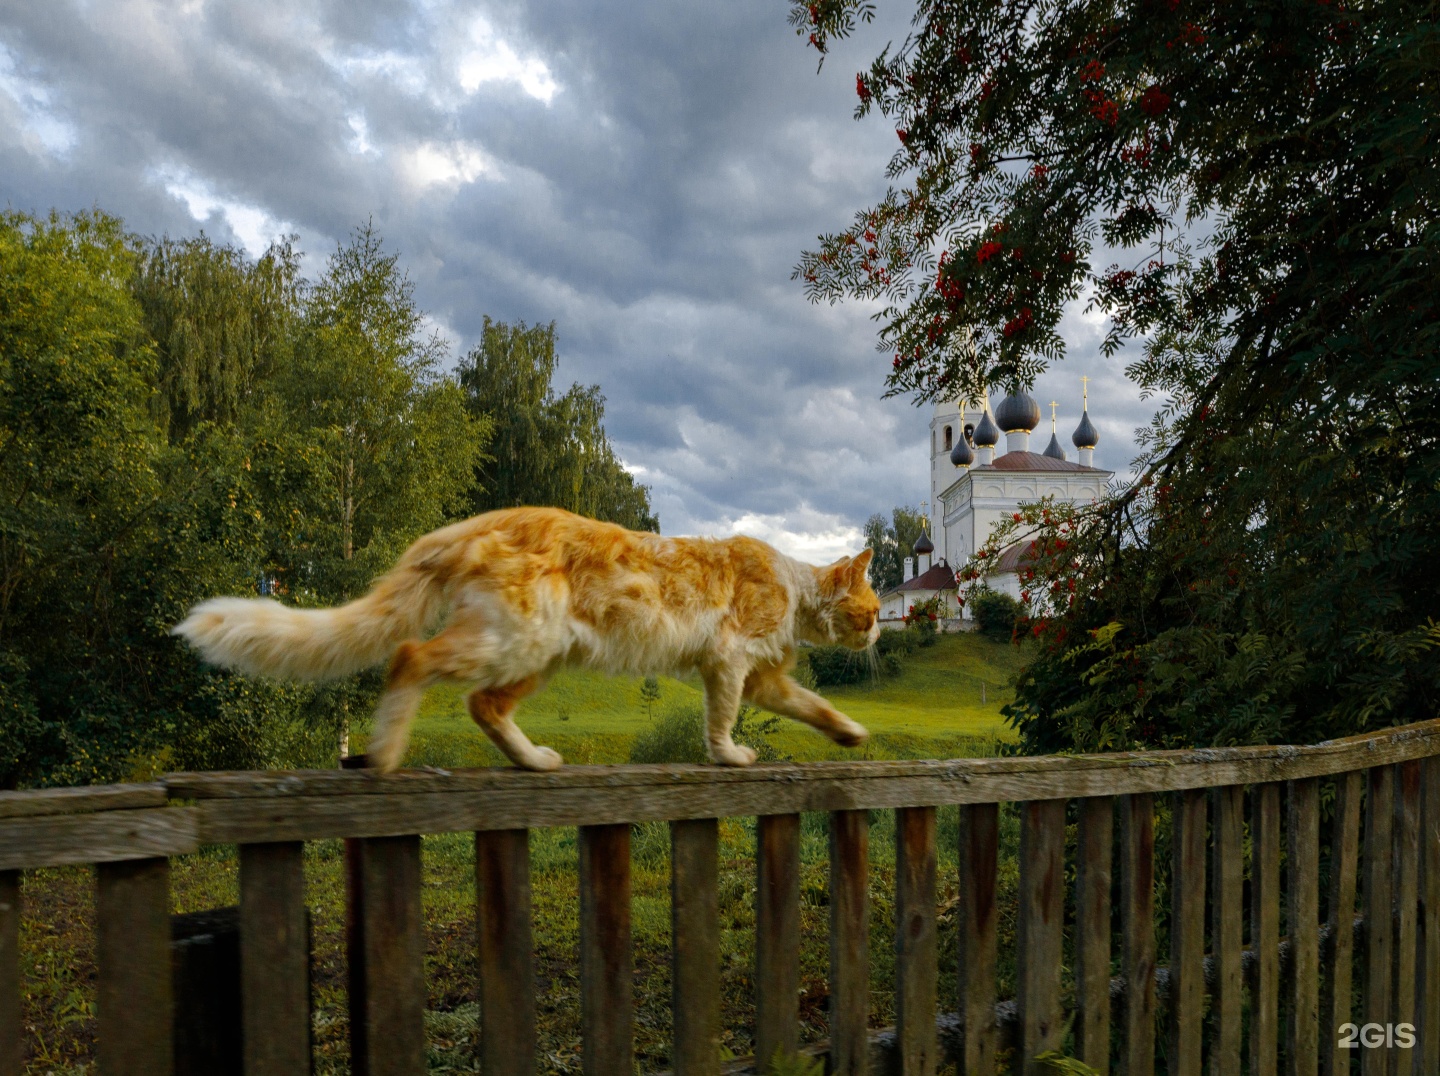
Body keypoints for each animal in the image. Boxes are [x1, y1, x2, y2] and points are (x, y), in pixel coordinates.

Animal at [175, 507, 881, 772]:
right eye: (873, 611)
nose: (880, 633)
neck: (795, 588)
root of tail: (479, 519)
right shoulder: (730, 660)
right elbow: (721, 719)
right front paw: (730, 755)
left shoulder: (762, 676)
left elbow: (813, 705)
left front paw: (851, 733)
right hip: (511, 641)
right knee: (410, 657)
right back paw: (384, 754)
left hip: (540, 654)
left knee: (482, 705)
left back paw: (532, 760)